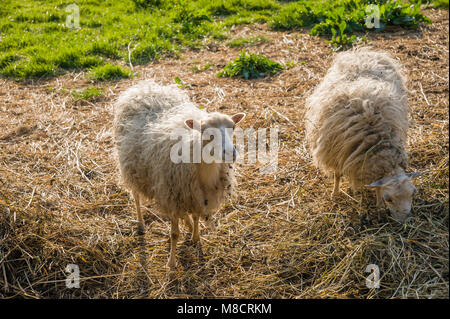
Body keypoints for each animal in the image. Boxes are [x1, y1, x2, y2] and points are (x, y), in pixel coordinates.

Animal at [112, 80, 246, 270]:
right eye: (204, 130)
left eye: (233, 127)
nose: (230, 153)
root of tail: (145, 86)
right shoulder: (172, 195)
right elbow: (174, 234)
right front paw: (171, 263)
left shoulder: (196, 195)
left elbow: (196, 217)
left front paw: (196, 238)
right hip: (131, 165)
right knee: (136, 196)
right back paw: (141, 224)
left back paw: (187, 224)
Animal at [304, 49, 424, 222]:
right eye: (389, 199)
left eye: (413, 193)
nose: (404, 222)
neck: (377, 141)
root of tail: (363, 52)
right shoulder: (336, 152)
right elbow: (337, 175)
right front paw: (335, 193)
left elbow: (377, 187)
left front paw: (379, 205)